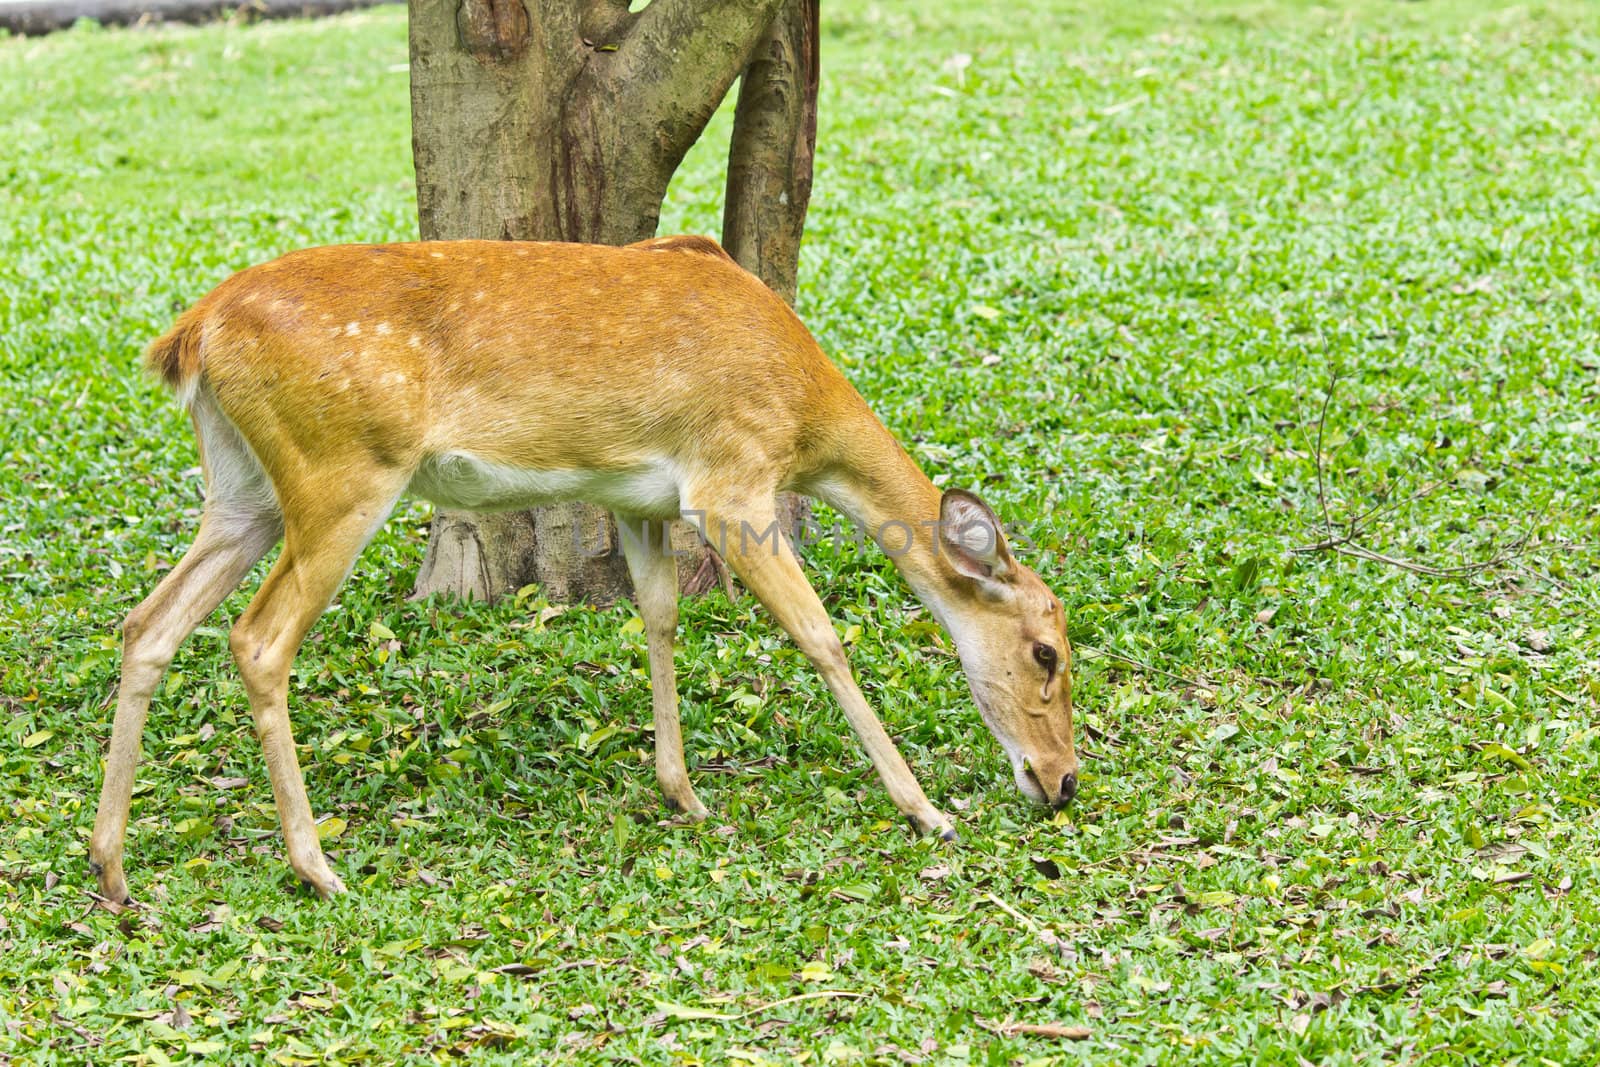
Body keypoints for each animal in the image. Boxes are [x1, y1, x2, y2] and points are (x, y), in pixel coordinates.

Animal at [90, 235, 1088, 902]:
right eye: (1046, 651)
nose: (1062, 780)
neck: (808, 419)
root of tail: (192, 334)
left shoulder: (641, 500)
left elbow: (659, 616)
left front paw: (685, 794)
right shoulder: (731, 480)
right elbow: (820, 634)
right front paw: (925, 810)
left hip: (243, 490)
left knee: (149, 623)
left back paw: (113, 867)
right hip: (340, 470)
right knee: (258, 638)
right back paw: (317, 865)